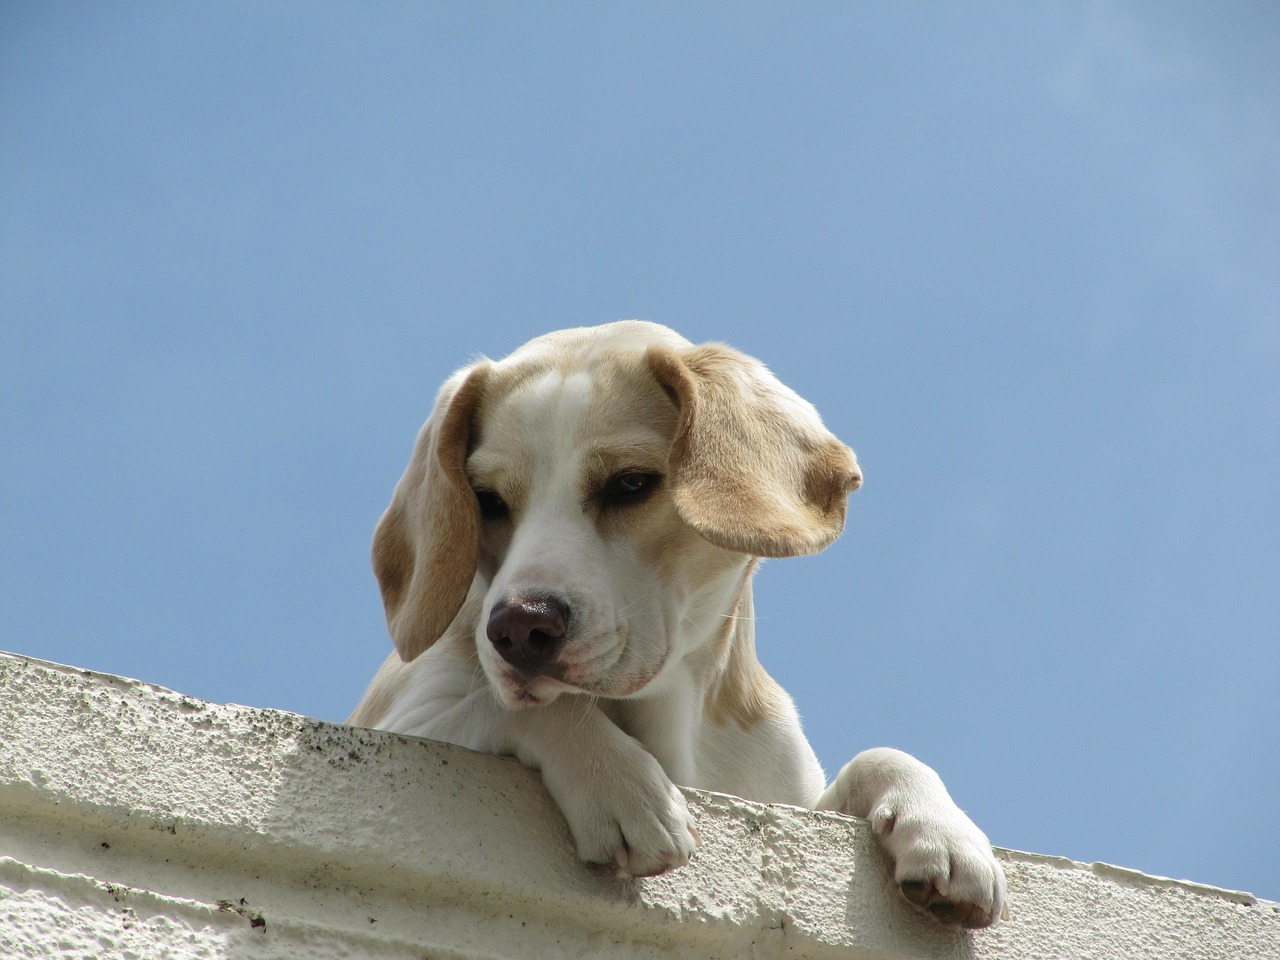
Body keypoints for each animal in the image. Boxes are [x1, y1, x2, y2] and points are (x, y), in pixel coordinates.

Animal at [353, 323, 1008, 931]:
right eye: (487, 500)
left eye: (629, 483)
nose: (518, 628)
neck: (675, 715)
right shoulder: (404, 719)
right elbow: (522, 706)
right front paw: (623, 787)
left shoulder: (785, 796)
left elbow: (880, 754)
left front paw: (943, 831)